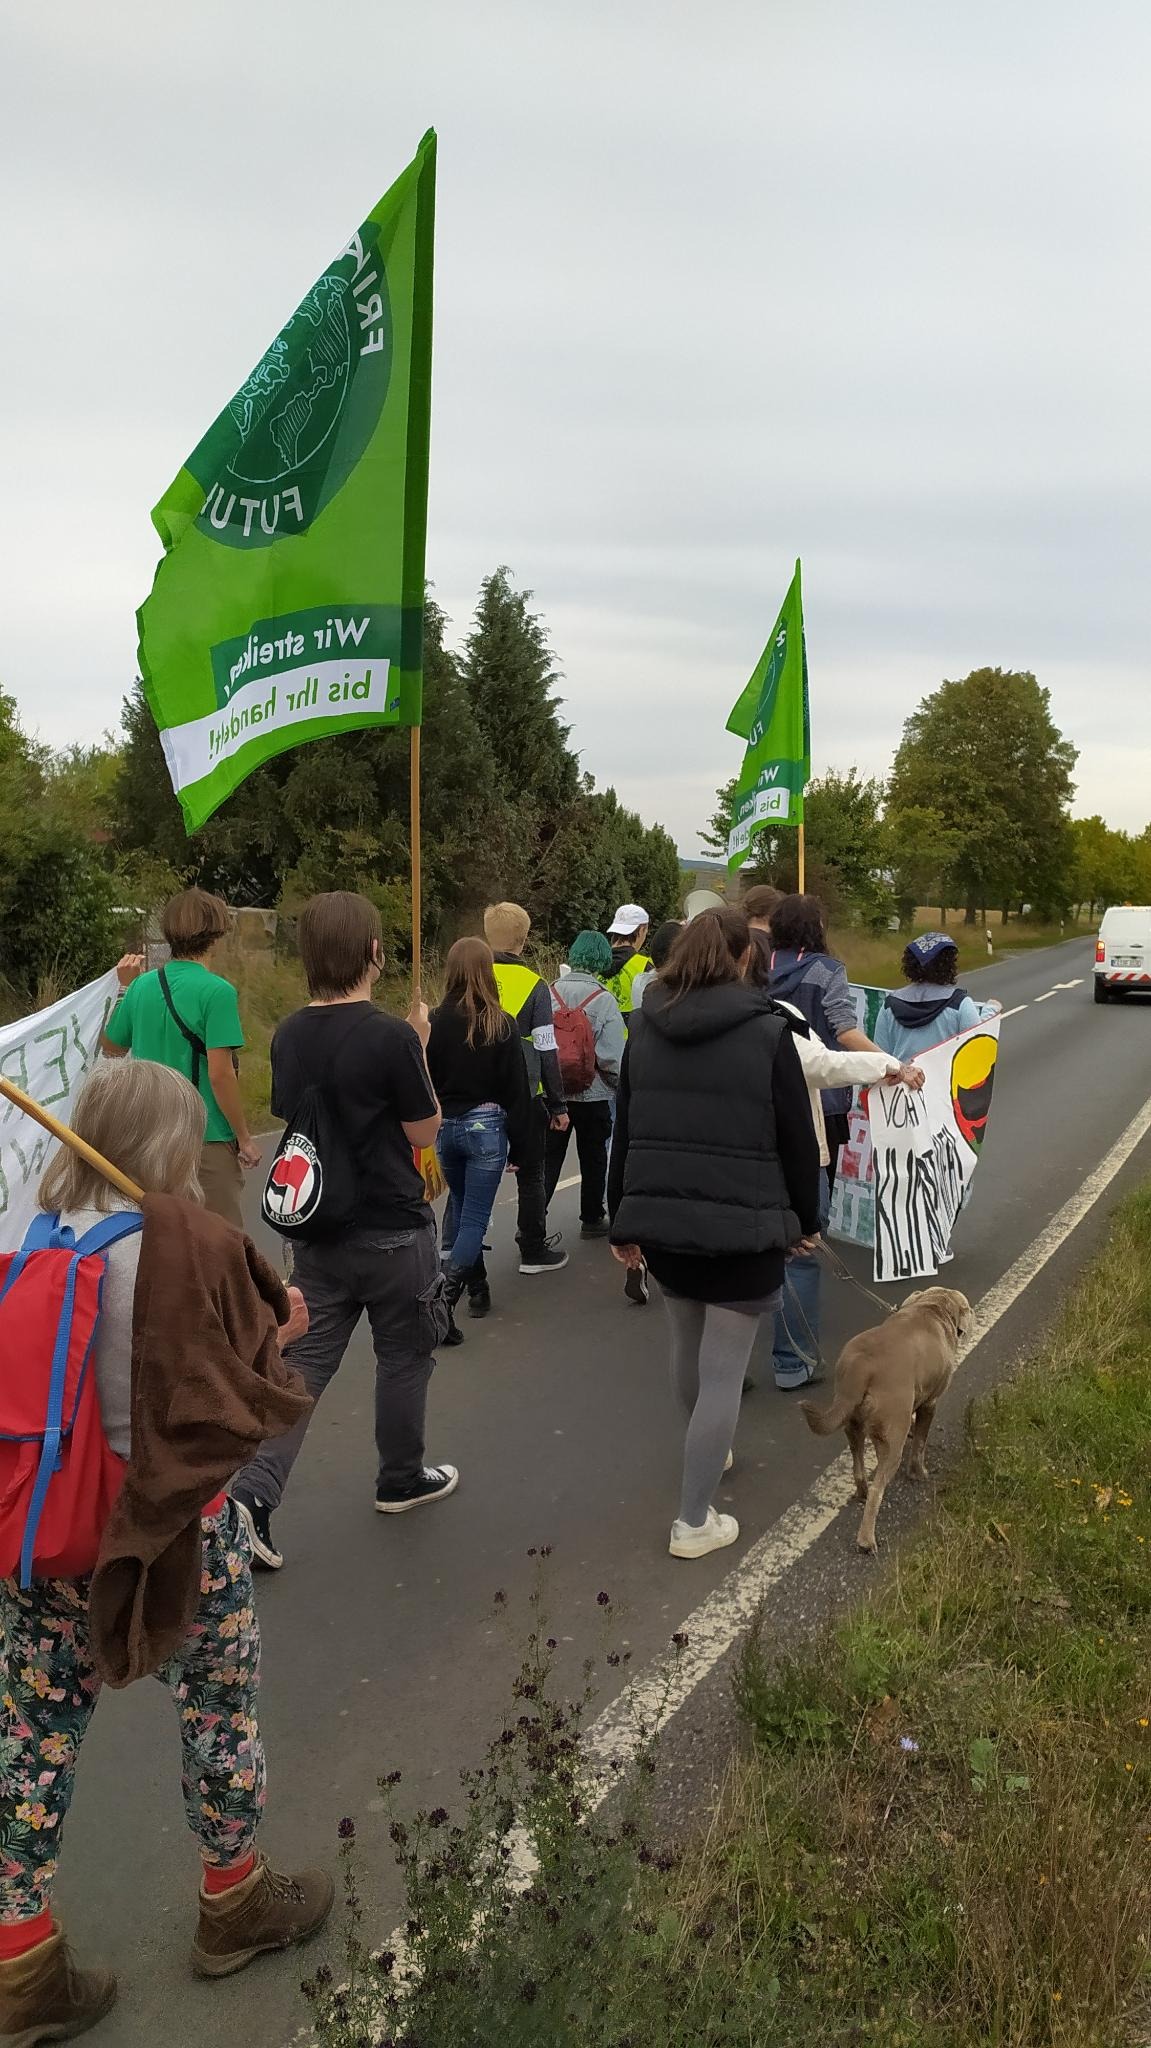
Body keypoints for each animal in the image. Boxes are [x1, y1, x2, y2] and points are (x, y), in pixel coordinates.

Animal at [798, 1286, 966, 1556]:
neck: (931, 1307)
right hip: (891, 1436)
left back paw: (862, 1492)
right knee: (879, 1489)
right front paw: (920, 1473)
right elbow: (919, 1444)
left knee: (858, 1467)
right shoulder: (930, 1404)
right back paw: (866, 1541)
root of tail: (861, 1366)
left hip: (852, 1423)